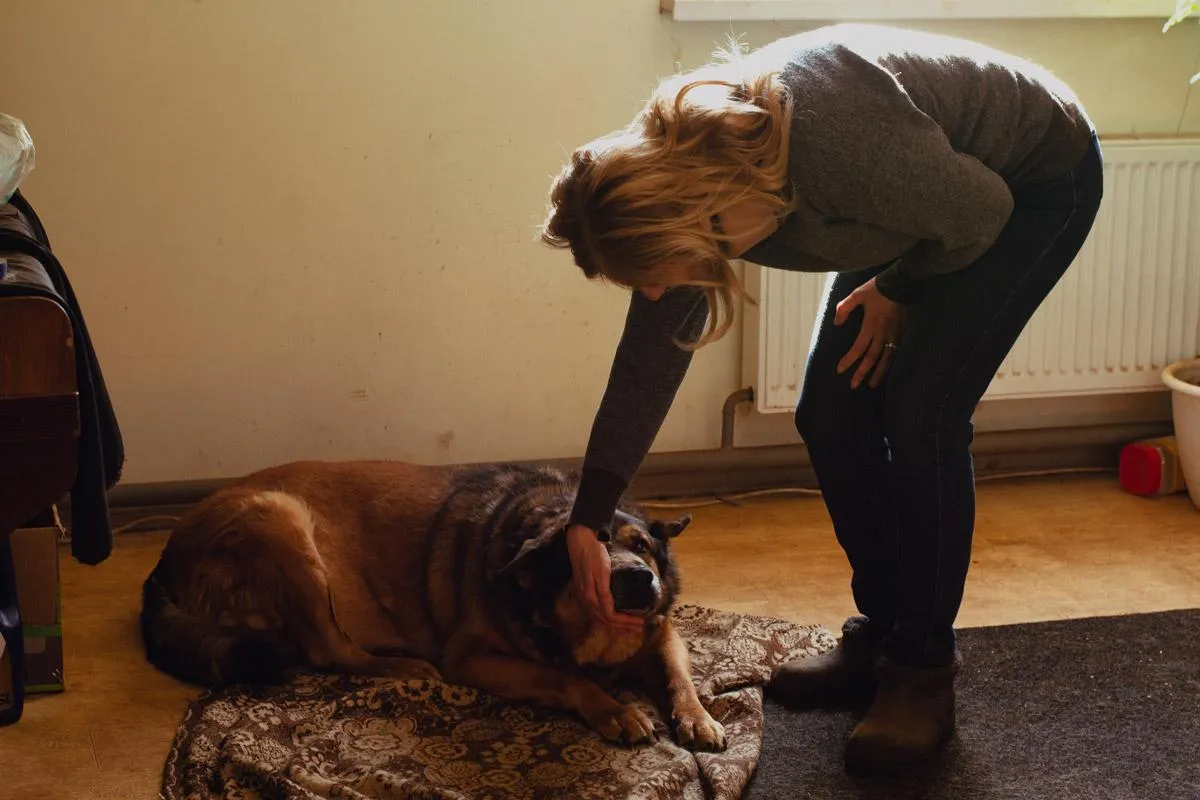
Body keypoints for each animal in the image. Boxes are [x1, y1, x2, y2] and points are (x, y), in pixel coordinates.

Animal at [137, 460, 724, 753]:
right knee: (330, 650)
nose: (641, 580)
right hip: (282, 519)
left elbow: (678, 675)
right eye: (588, 562)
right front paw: (613, 708)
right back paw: (403, 667)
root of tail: (168, 555)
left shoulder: (662, 631)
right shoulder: (473, 658)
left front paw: (698, 717)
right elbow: (566, 679)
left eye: (641, 545)